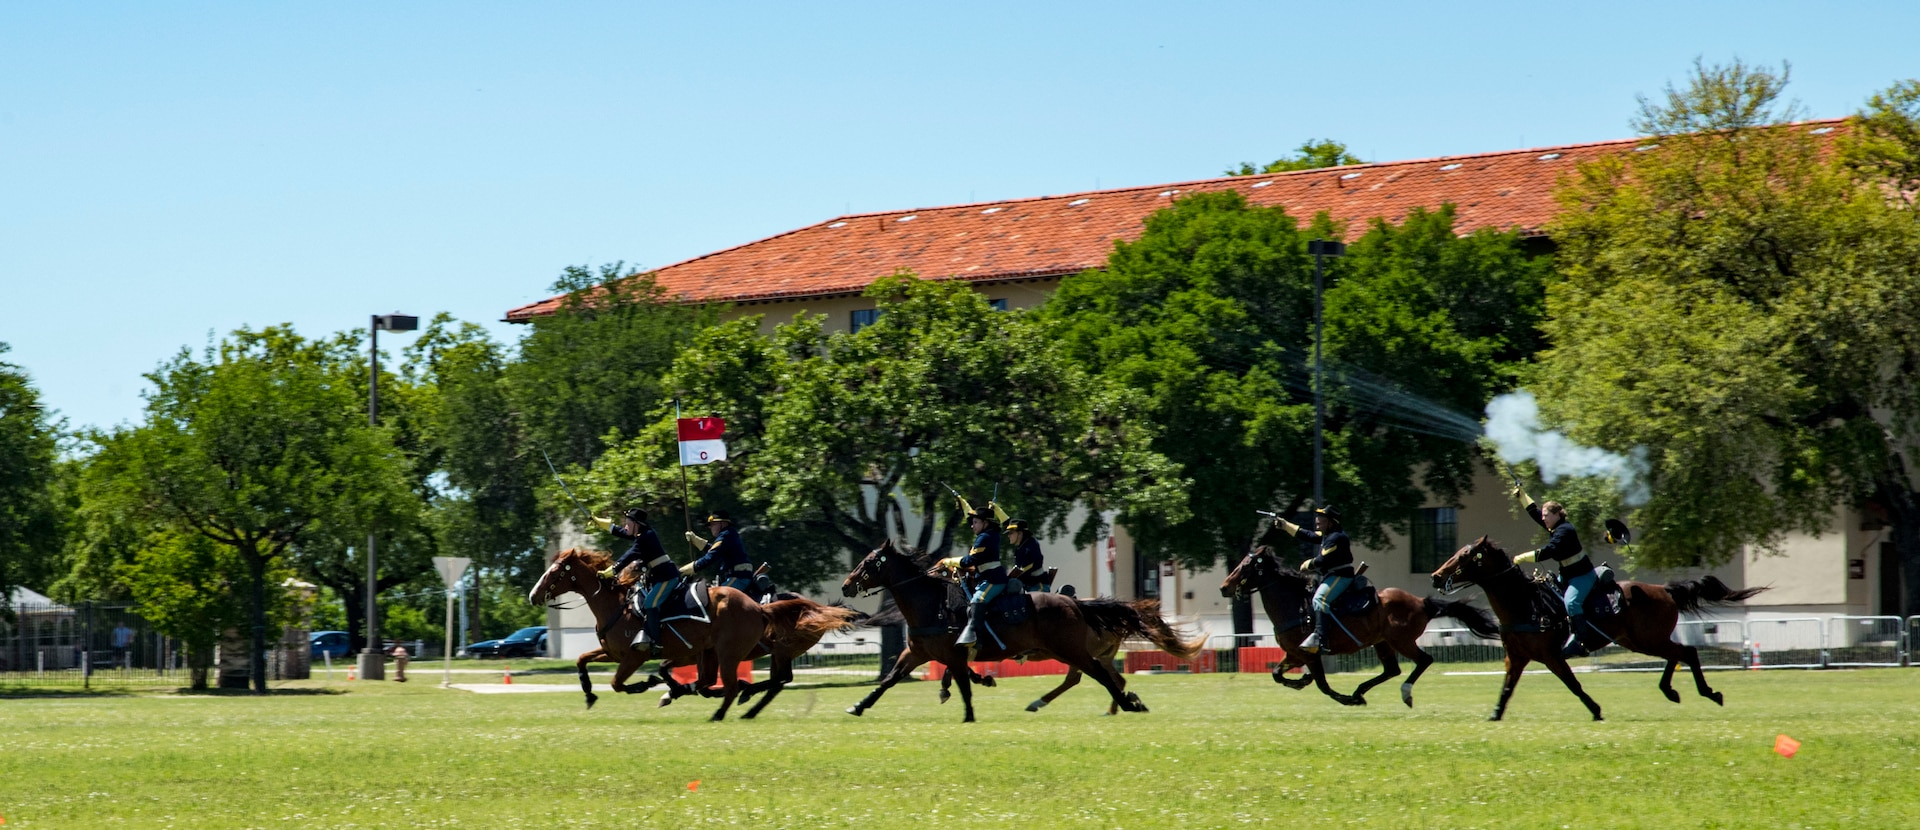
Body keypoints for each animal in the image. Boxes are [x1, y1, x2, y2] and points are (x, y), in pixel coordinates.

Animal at [529, 549, 768, 718]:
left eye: (555, 572)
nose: (533, 596)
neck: (616, 606)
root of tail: (757, 608)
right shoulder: (614, 654)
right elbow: (582, 659)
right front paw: (588, 693)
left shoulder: (635, 657)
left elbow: (617, 683)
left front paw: (648, 683)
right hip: (712, 652)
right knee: (713, 681)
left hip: (726, 653)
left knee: (731, 683)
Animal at [840, 541, 1198, 722]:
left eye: (869, 562)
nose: (846, 586)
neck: (931, 603)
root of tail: (1075, 604)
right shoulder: (915, 653)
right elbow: (888, 680)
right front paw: (858, 706)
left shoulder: (953, 655)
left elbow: (963, 685)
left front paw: (969, 714)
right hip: (1069, 652)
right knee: (1096, 677)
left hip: (1073, 651)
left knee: (1099, 676)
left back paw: (1123, 704)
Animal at [1213, 545, 1497, 707]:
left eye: (1247, 566)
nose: (1224, 587)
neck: (1293, 605)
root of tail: (1422, 602)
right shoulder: (1293, 654)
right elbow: (1277, 674)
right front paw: (1302, 680)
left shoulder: (1310, 655)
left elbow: (1323, 686)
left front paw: (1343, 699)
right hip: (1382, 643)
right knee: (1392, 670)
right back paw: (1361, 691)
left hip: (1401, 641)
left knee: (1423, 661)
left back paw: (1396, 693)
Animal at [1436, 537, 1774, 718]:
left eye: (1466, 556)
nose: (1437, 576)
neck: (1525, 603)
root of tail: (1665, 590)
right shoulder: (1516, 658)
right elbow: (1506, 689)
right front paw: (1494, 714)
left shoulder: (1551, 656)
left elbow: (1573, 684)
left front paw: (1596, 709)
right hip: (1639, 641)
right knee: (1677, 655)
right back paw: (1671, 691)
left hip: (1647, 639)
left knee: (1687, 652)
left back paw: (1707, 692)